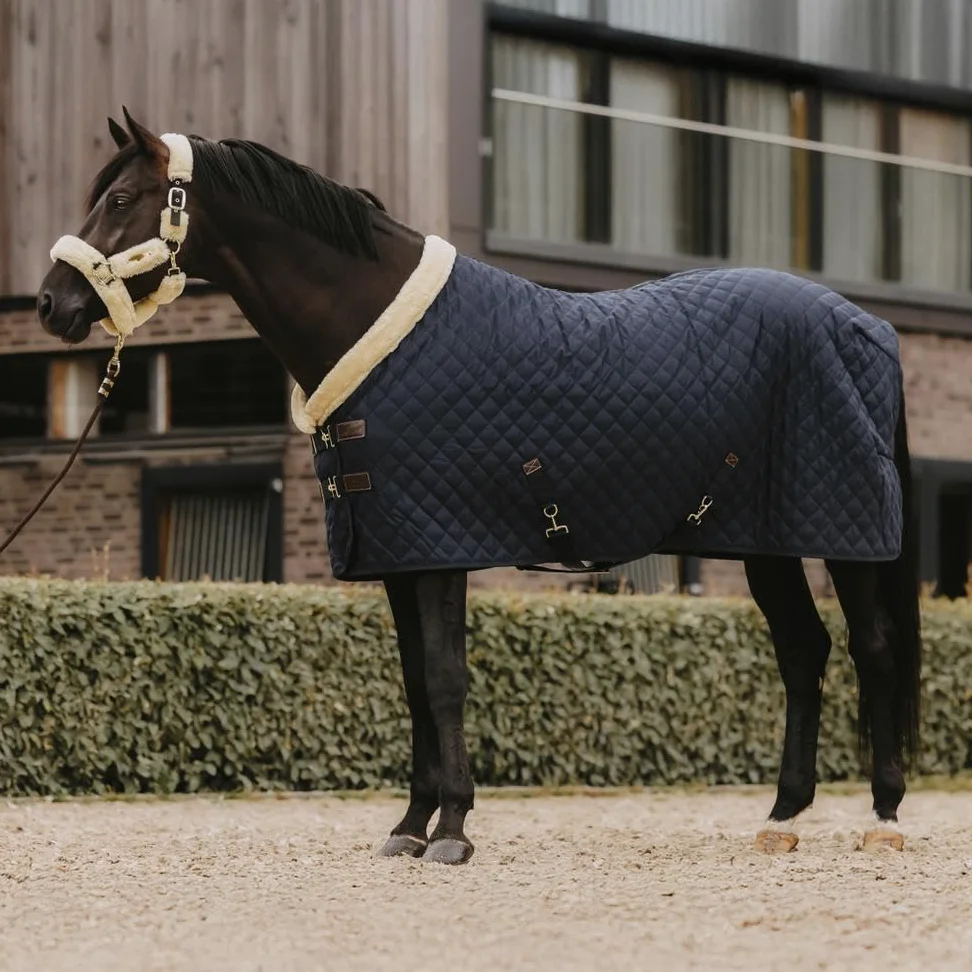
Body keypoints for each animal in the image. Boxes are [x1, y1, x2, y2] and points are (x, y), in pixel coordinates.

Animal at [36, 110, 921, 864]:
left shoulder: (441, 549)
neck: (379, 331)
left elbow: (445, 680)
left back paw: (882, 817)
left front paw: (454, 830)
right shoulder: (397, 553)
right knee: (803, 651)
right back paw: (783, 816)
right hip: (768, 538)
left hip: (846, 535)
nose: (52, 303)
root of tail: (866, 325)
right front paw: (409, 826)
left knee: (872, 648)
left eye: (121, 199)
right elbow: (413, 687)